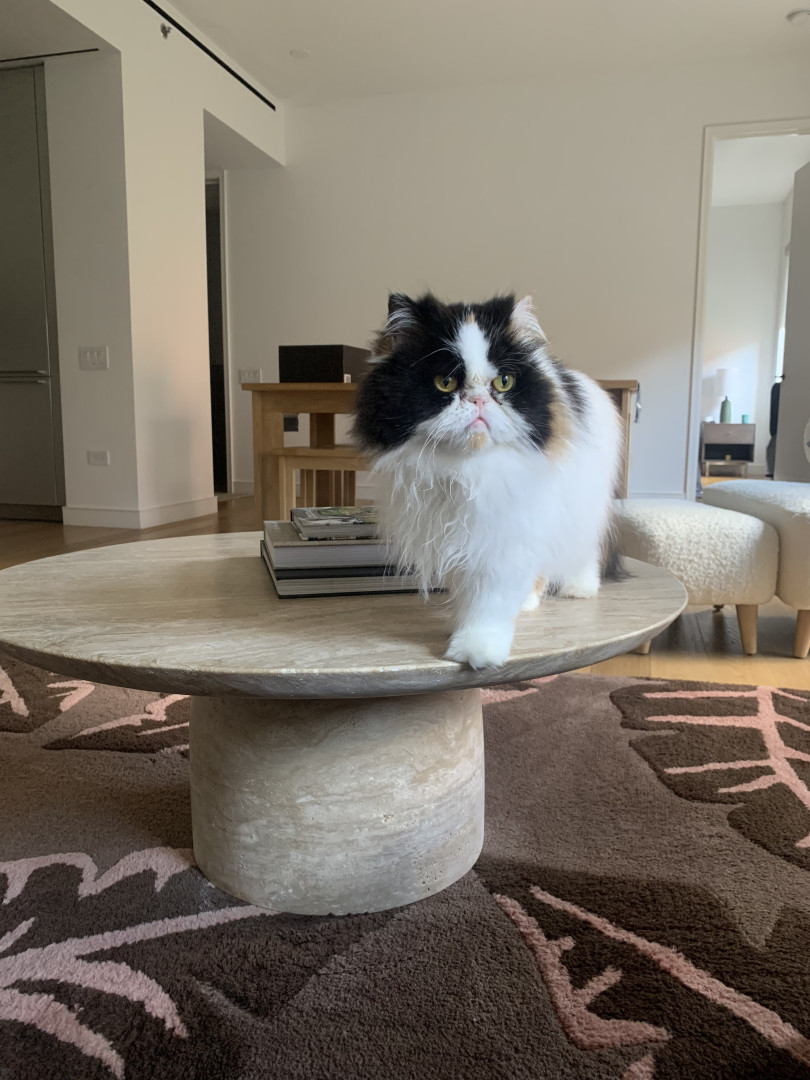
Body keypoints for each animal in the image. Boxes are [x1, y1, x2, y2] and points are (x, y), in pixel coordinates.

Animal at [352, 291, 624, 670]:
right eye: (445, 383)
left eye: (504, 383)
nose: (479, 399)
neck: (466, 471)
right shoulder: (454, 533)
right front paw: (460, 622)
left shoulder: (505, 535)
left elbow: (489, 601)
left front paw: (476, 650)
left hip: (579, 507)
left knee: (582, 550)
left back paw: (576, 589)